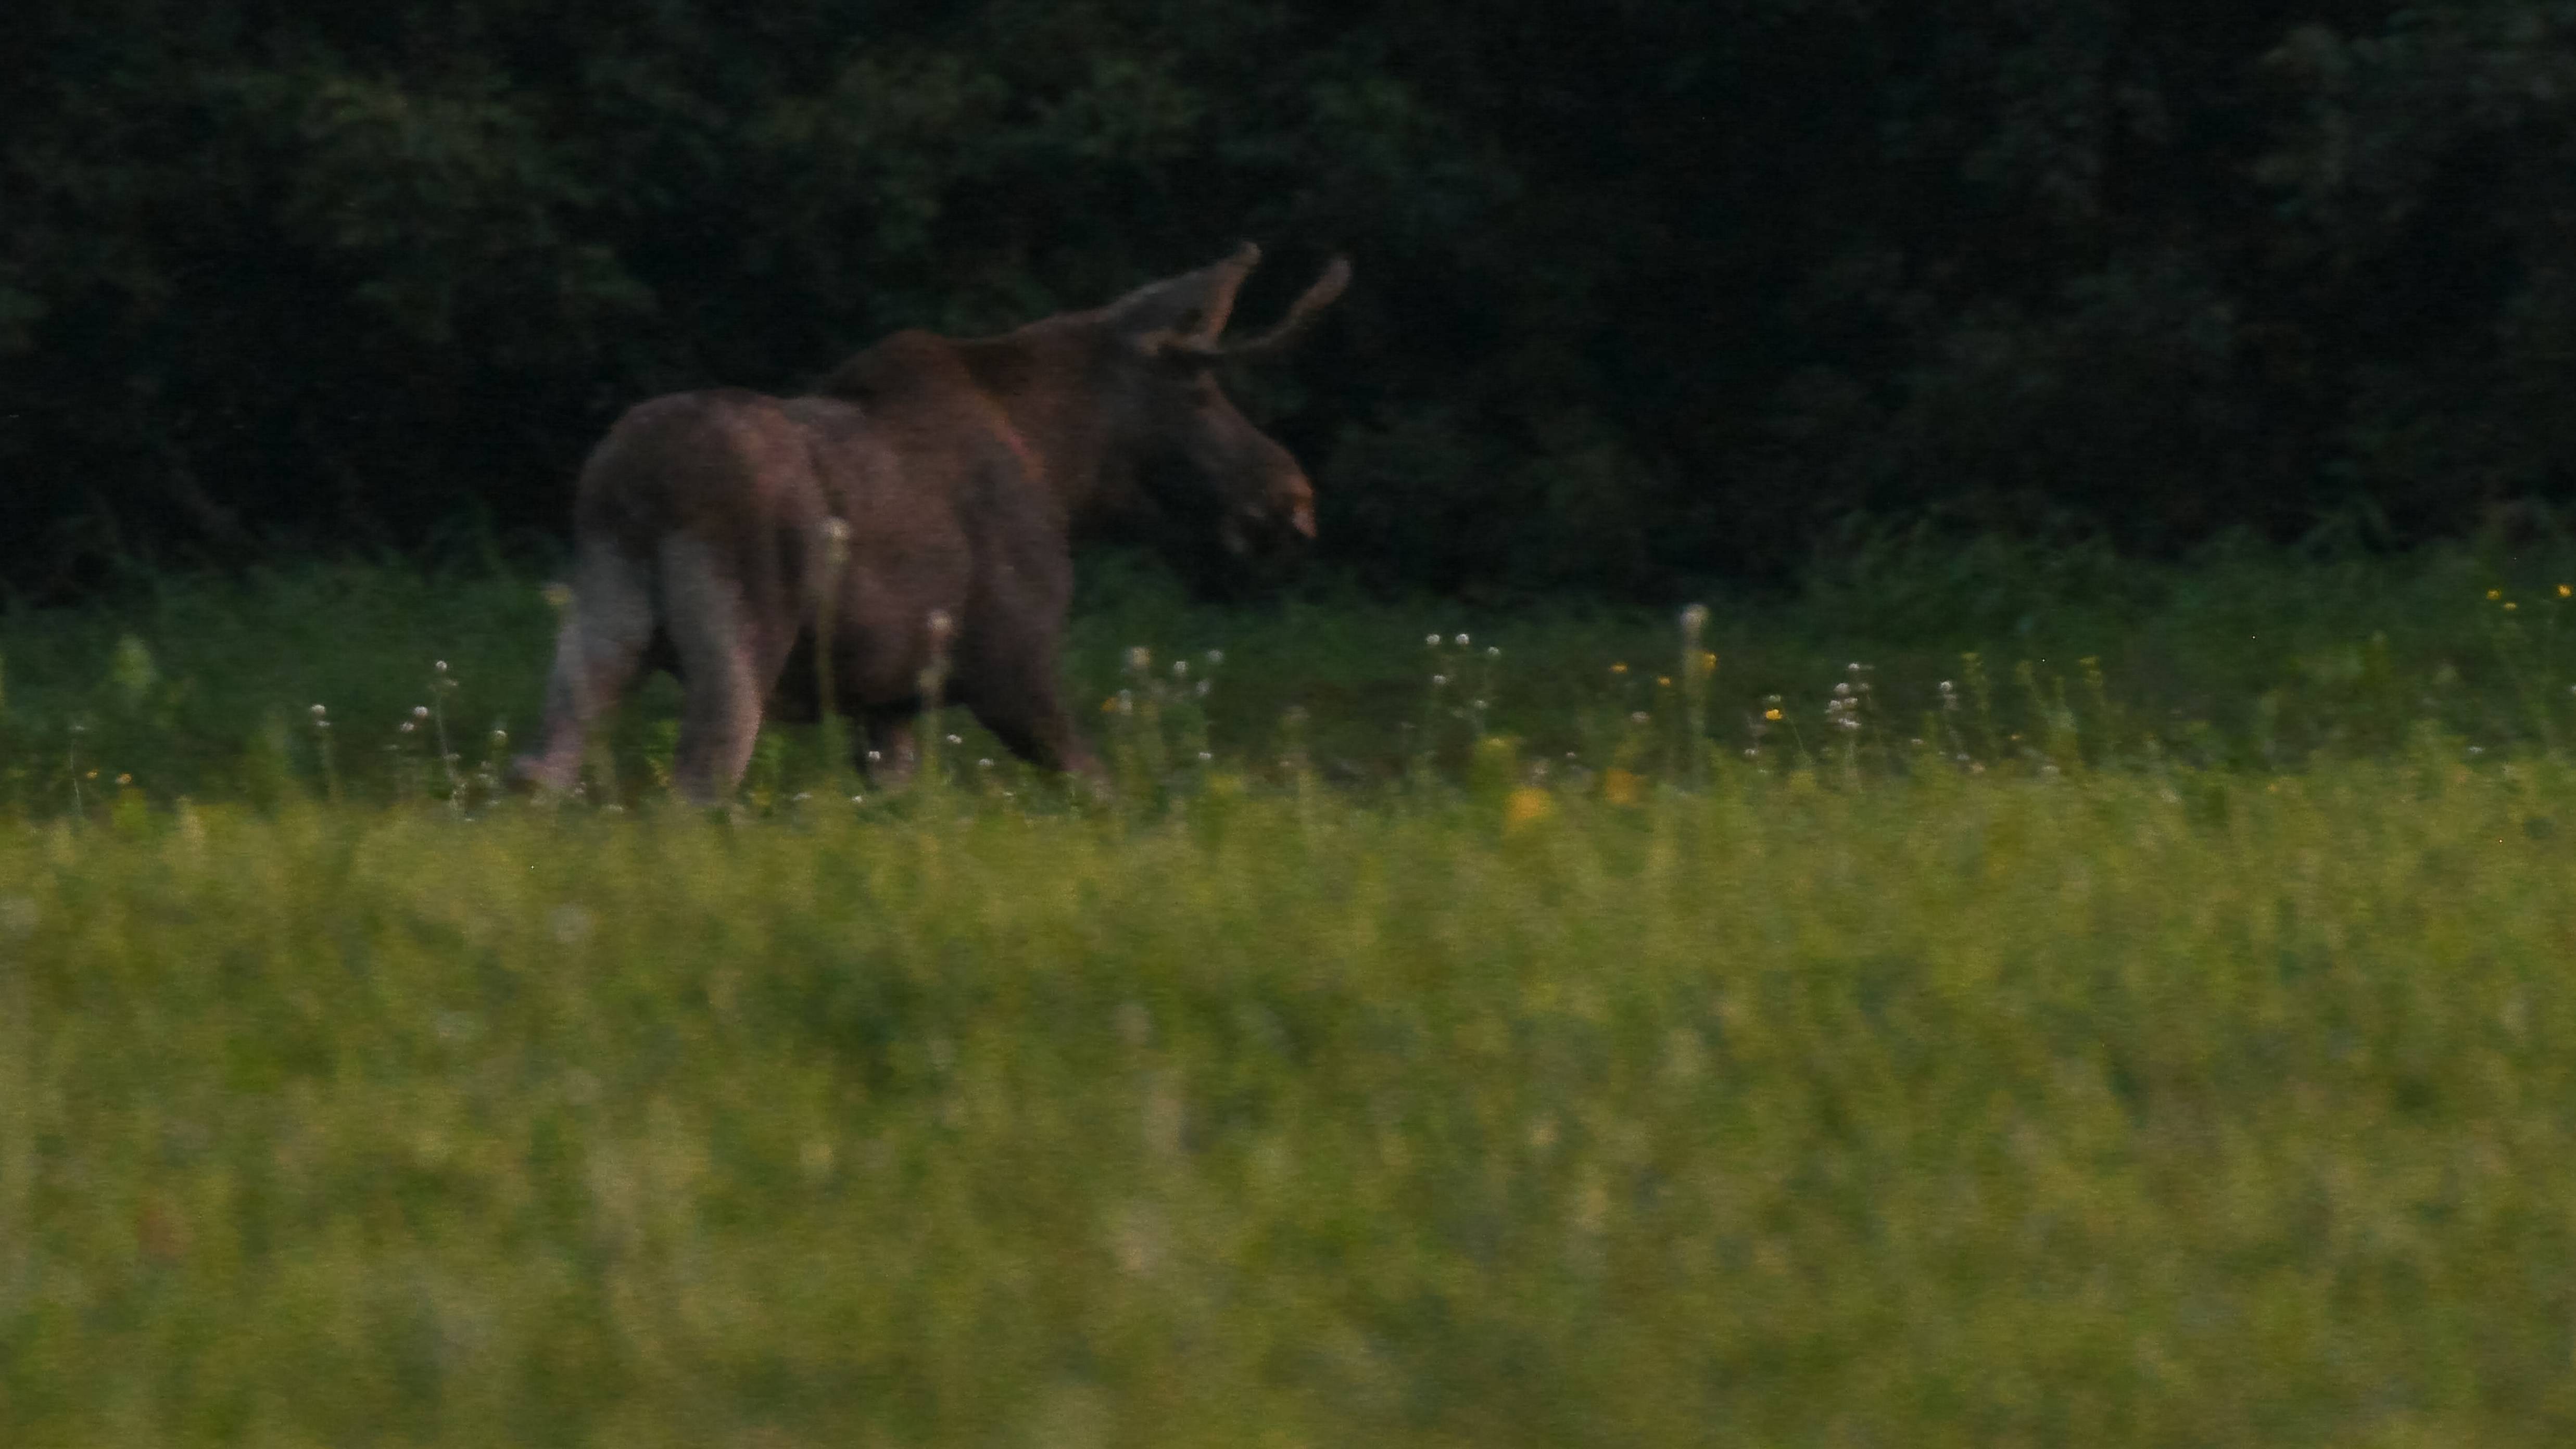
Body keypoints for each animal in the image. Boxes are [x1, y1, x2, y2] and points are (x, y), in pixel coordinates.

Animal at [507, 242, 1349, 797]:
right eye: (1201, 393)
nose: (1295, 502)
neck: (1067, 475)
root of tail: (632, 484)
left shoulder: (888, 707)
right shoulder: (1009, 667)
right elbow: (1102, 791)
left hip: (602, 618)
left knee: (538, 771)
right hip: (741, 633)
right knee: (696, 785)